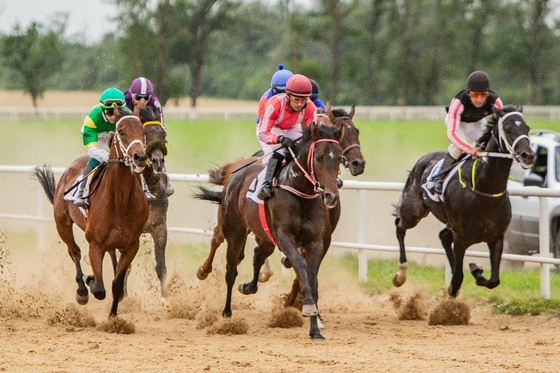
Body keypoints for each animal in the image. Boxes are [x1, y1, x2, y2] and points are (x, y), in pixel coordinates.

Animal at [33, 110, 149, 316]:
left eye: (143, 131)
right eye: (121, 131)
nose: (140, 157)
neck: (119, 200)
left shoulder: (131, 245)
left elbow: (117, 283)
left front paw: (113, 315)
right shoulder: (95, 243)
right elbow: (100, 289)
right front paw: (91, 281)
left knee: (111, 258)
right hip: (62, 224)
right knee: (74, 252)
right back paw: (81, 289)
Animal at [197, 115, 346, 340]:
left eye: (338, 158)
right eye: (319, 158)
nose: (331, 196)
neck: (300, 193)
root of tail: (235, 171)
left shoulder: (316, 242)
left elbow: (312, 279)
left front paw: (315, 329)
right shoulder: (284, 237)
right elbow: (300, 266)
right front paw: (309, 307)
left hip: (266, 237)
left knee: (258, 255)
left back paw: (248, 287)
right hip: (235, 232)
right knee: (231, 270)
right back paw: (227, 313)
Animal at [392, 104, 536, 296]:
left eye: (527, 128)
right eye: (508, 129)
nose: (529, 155)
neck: (484, 188)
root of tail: (424, 159)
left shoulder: (496, 237)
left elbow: (494, 280)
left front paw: (476, 271)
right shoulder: (461, 238)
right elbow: (458, 280)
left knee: (443, 236)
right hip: (413, 211)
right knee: (400, 226)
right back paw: (400, 274)